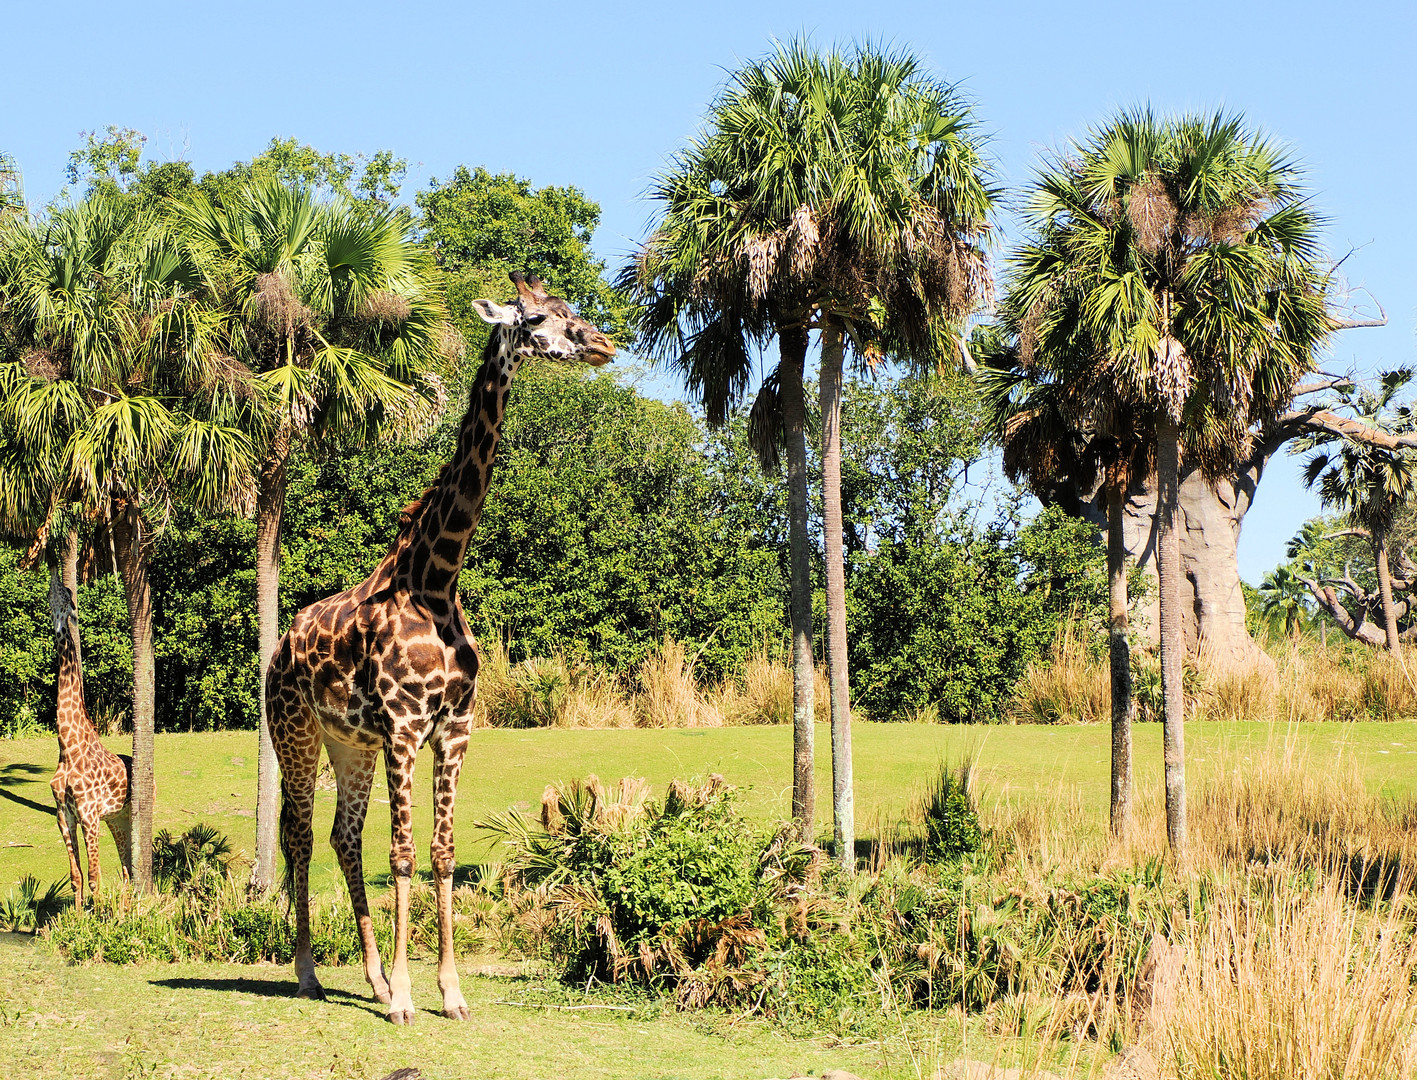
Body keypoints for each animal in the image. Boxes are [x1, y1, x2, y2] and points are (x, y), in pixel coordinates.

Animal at [46, 566, 133, 907]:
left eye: (66, 593)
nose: (54, 572)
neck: (67, 745)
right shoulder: (64, 814)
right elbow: (76, 877)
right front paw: (80, 917)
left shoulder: (88, 814)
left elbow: (95, 878)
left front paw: (98, 920)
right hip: (116, 818)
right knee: (127, 869)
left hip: (129, 815)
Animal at [266, 269, 614, 1020]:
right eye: (536, 319)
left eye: (572, 309)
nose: (601, 344)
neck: (436, 577)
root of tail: (280, 646)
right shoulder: (404, 726)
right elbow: (400, 854)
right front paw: (404, 997)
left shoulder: (454, 727)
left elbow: (442, 852)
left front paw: (447, 992)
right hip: (296, 730)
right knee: (300, 834)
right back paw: (309, 973)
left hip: (350, 743)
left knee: (340, 835)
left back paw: (367, 979)